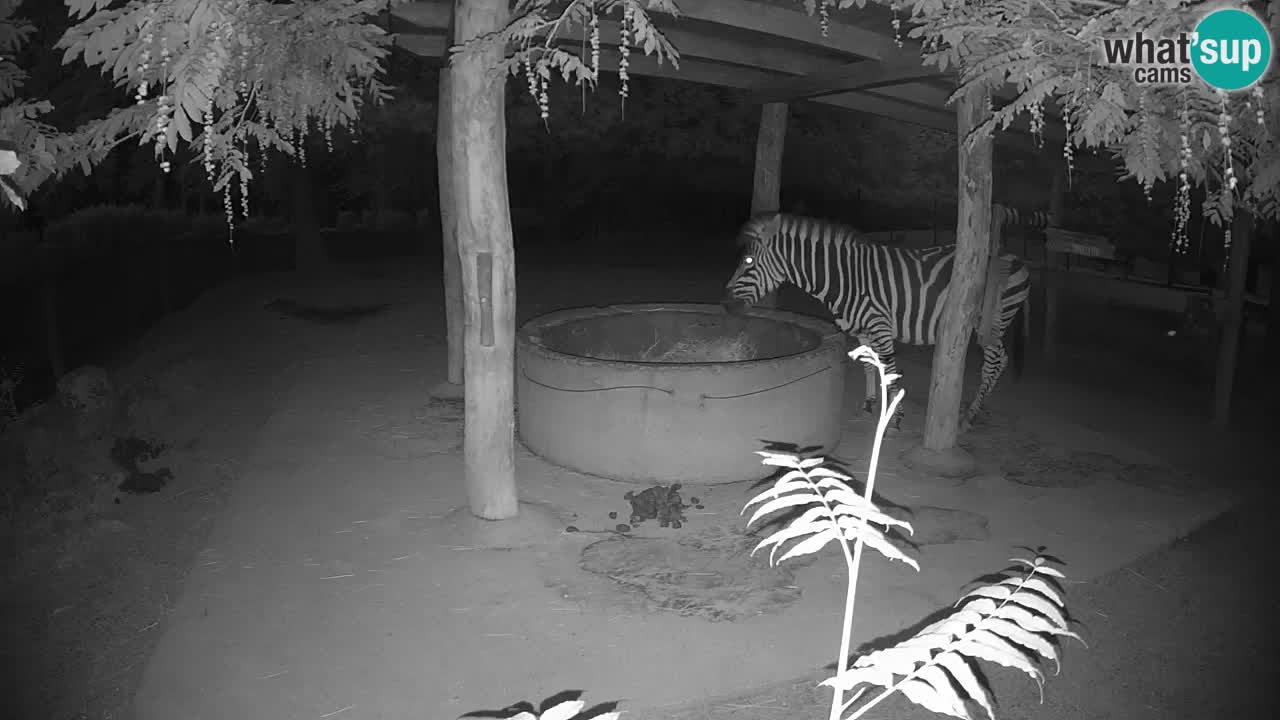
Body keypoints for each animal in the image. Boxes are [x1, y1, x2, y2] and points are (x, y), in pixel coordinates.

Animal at [721, 212, 1033, 431]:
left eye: (748, 262)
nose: (725, 306)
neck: (845, 278)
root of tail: (1013, 257)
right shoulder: (862, 330)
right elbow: (870, 367)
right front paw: (869, 405)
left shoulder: (881, 327)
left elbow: (890, 369)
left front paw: (896, 417)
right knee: (1000, 361)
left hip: (991, 324)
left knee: (996, 362)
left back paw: (969, 416)